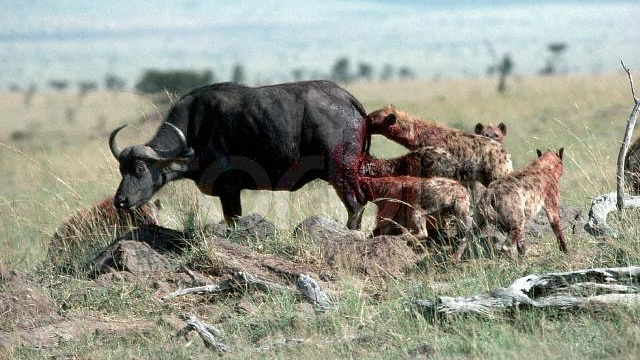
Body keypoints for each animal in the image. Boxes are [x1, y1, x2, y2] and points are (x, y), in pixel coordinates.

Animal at [109, 80, 368, 229]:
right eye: (122, 170)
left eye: (140, 169)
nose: (120, 201)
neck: (194, 129)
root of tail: (346, 98)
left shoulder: (229, 190)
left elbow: (232, 220)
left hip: (341, 174)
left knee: (356, 204)